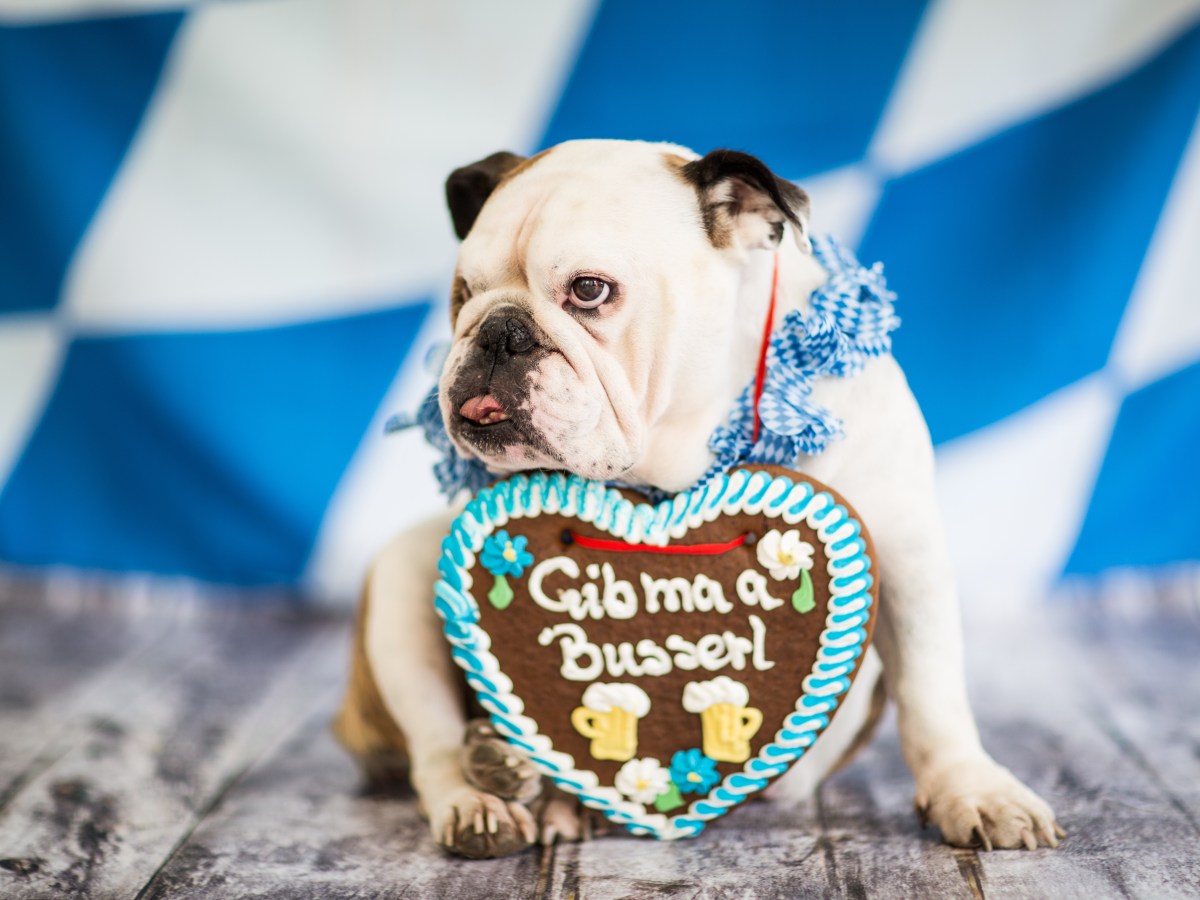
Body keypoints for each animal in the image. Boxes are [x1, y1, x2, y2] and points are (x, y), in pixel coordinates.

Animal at [336, 139, 1060, 859]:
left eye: (589, 290)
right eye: (463, 294)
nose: (496, 331)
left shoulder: (906, 549)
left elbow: (932, 691)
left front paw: (976, 791)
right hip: (403, 580)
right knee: (433, 749)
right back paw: (486, 793)